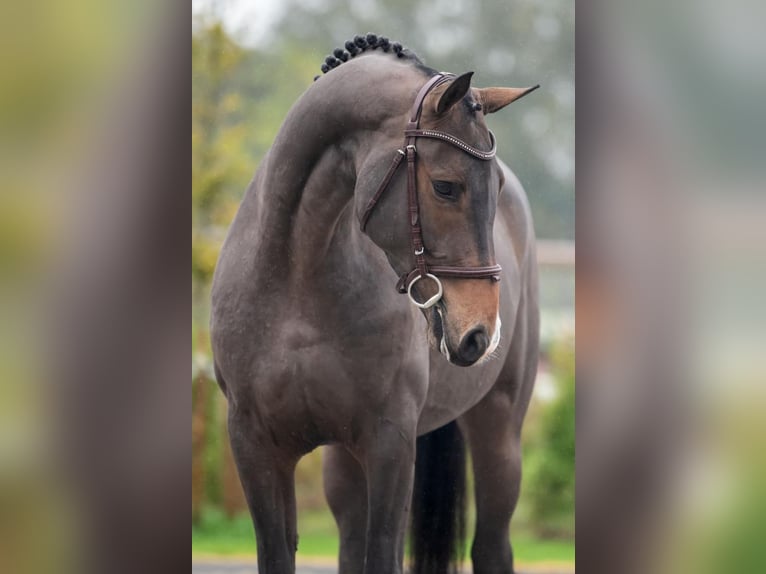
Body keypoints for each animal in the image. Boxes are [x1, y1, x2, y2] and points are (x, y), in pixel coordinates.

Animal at [212, 35, 540, 574]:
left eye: (495, 189)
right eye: (445, 186)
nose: (479, 333)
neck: (298, 282)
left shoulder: (390, 442)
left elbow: (383, 552)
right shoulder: (254, 444)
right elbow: (279, 551)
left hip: (498, 428)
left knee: (492, 544)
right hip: (345, 464)